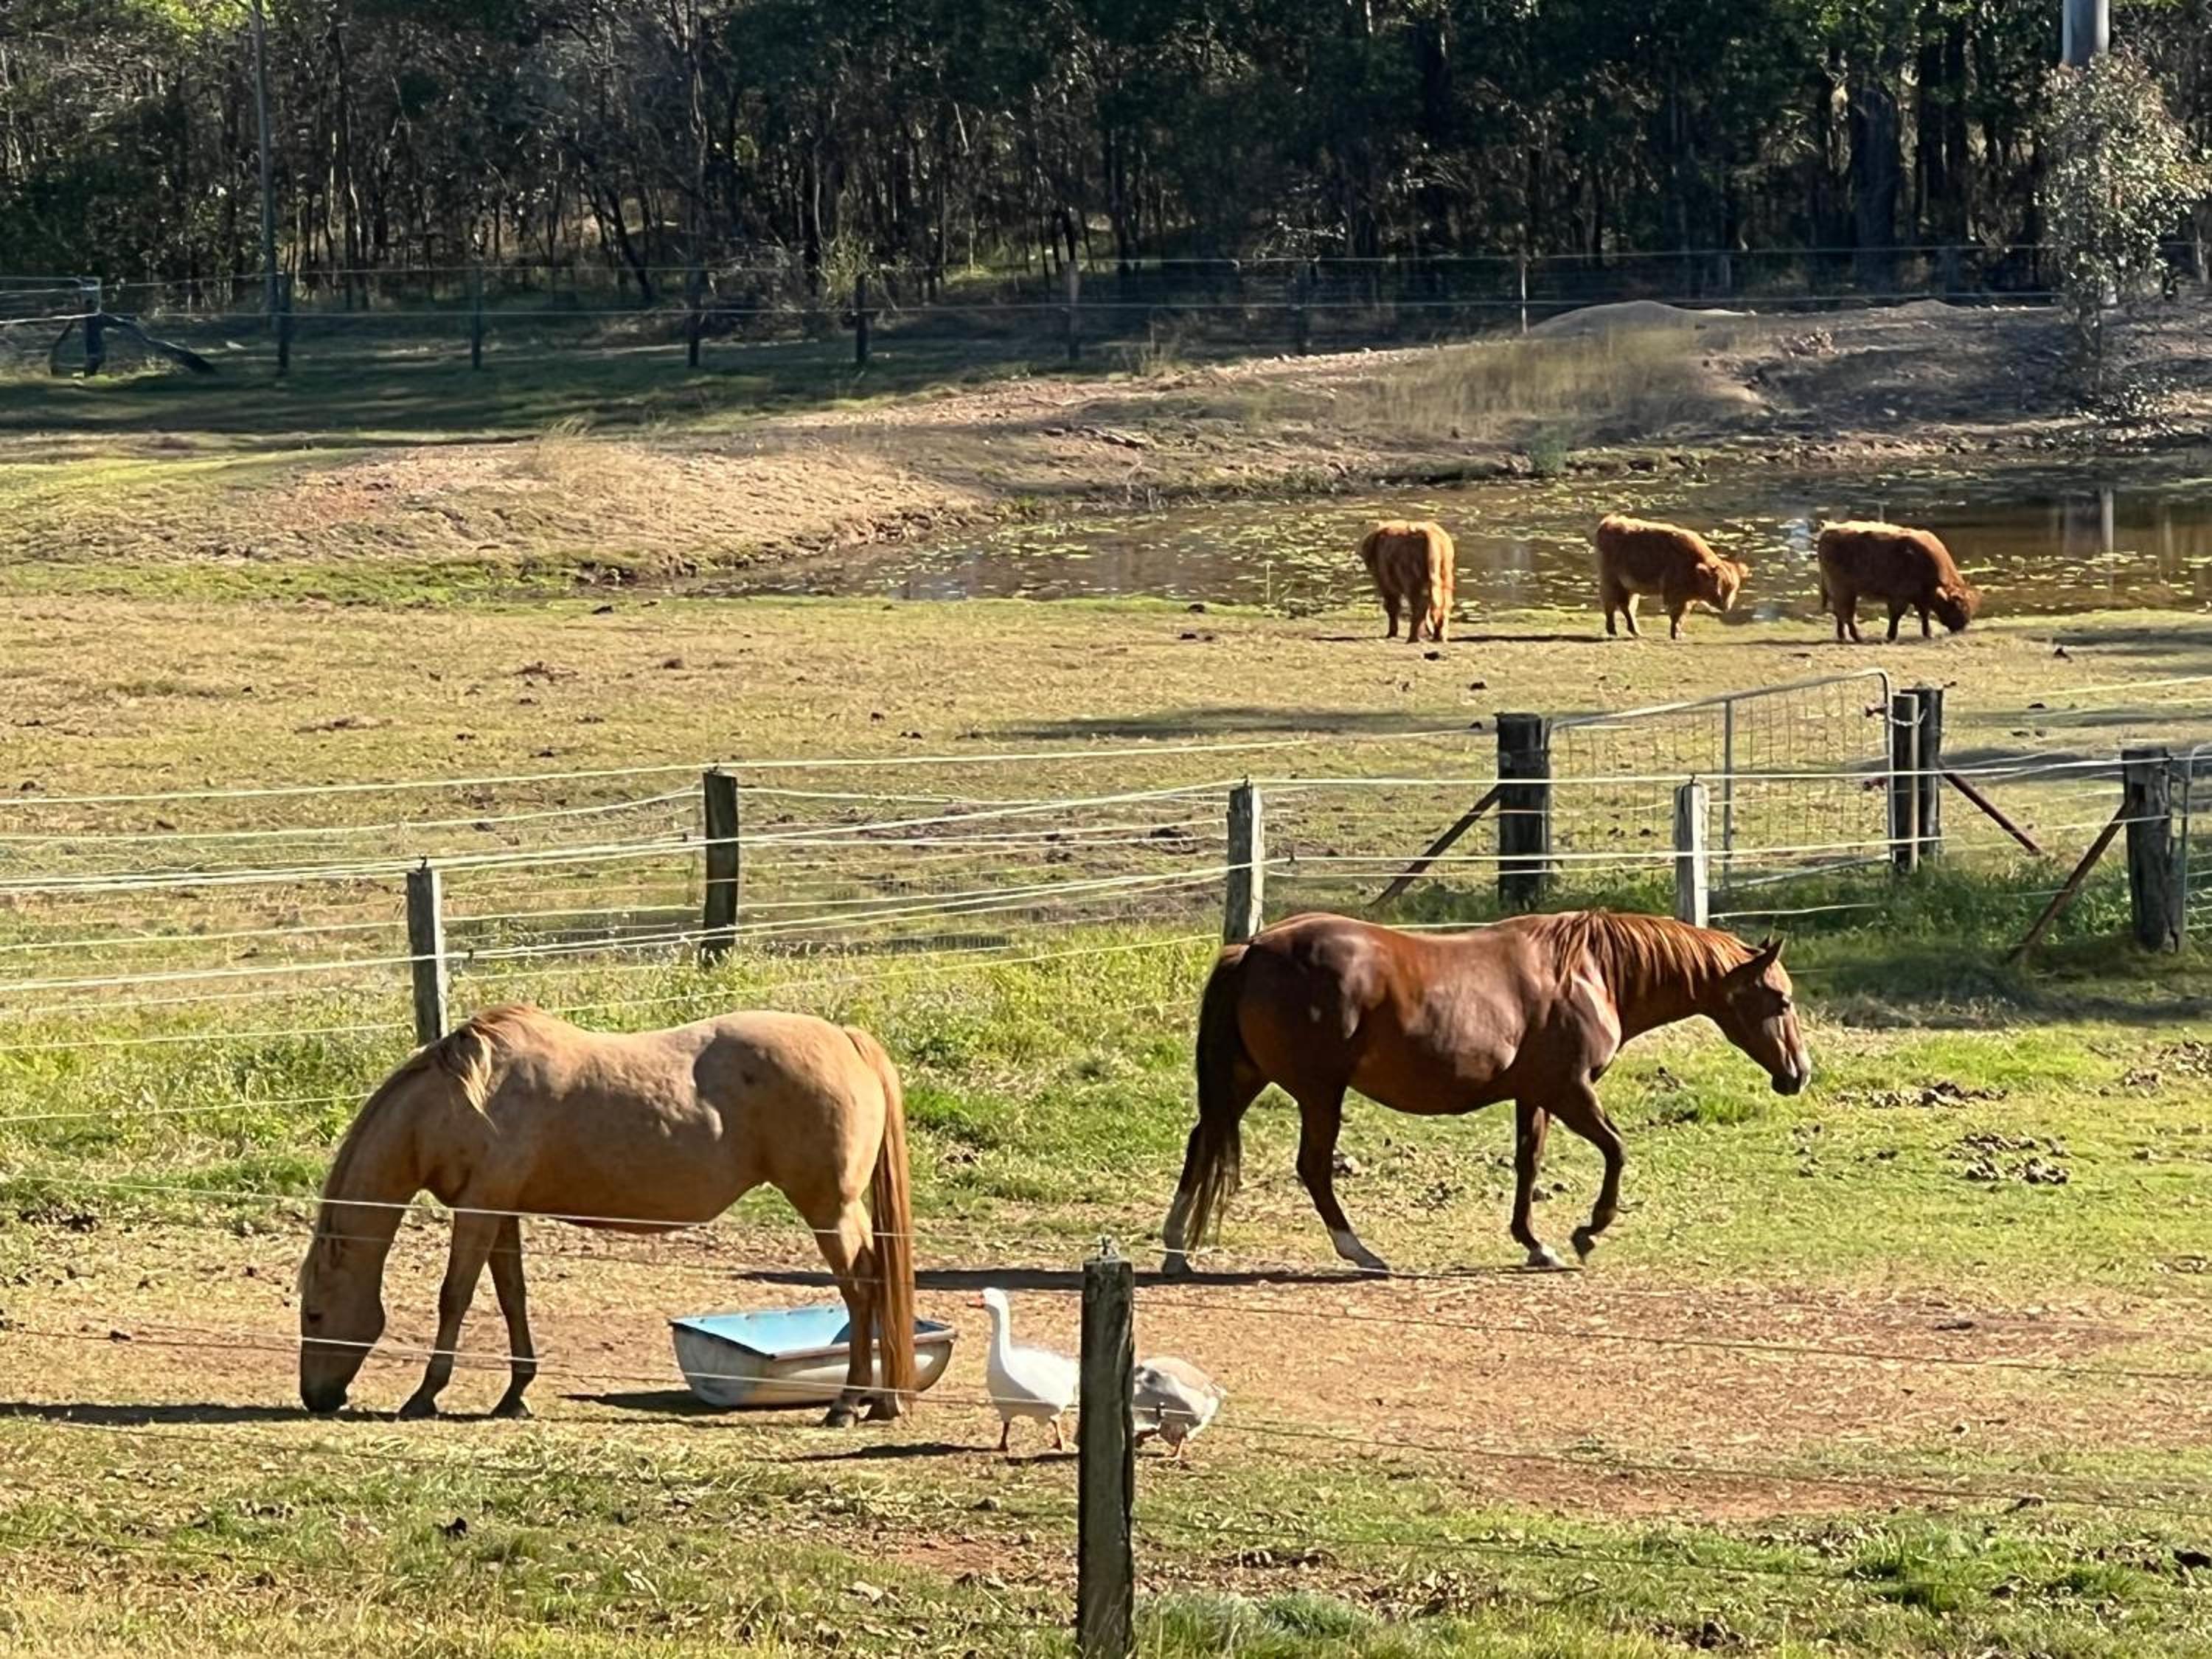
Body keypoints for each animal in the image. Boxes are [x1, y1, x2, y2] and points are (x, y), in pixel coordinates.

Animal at [296, 1004, 916, 1426]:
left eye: (315, 1314)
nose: (316, 1398)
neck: (458, 1103)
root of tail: (847, 1040)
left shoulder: (478, 1210)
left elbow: (455, 1297)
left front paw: (425, 1394)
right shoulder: (501, 1212)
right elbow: (512, 1297)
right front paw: (514, 1395)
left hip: (829, 1208)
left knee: (861, 1286)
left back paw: (848, 1404)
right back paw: (878, 1402)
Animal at [1159, 909, 1809, 1275]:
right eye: (1780, 1000)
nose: (1798, 1074)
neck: (1589, 972)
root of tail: (1254, 949)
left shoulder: (1535, 1096)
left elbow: (1529, 1164)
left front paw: (1535, 1244)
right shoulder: (1570, 1092)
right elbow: (1617, 1151)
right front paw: (1588, 1231)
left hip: (1246, 1080)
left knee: (1201, 1143)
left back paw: (1175, 1250)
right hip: (1320, 1093)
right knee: (1313, 1167)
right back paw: (1361, 1253)